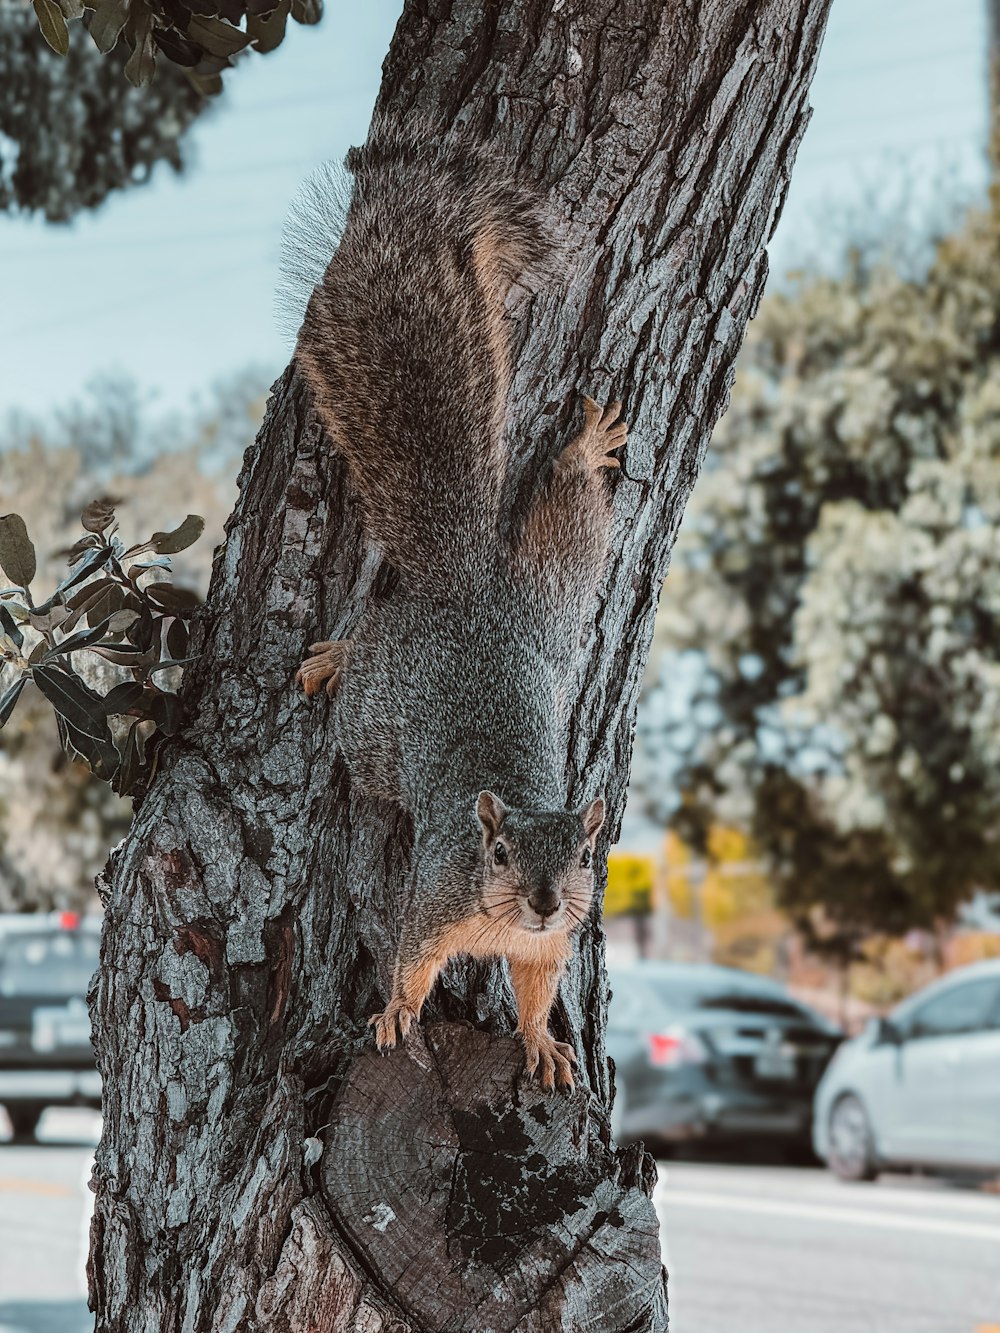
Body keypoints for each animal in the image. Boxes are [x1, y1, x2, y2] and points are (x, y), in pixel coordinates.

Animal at [289, 119, 626, 1087]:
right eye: (500, 851)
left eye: (584, 854)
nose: (547, 901)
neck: (501, 915)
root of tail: (466, 584)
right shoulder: (435, 896)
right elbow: (407, 959)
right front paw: (396, 1015)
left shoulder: (550, 949)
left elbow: (539, 990)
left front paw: (543, 1043)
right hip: (375, 727)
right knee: (365, 667)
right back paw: (334, 656)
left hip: (553, 593)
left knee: (570, 519)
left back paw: (584, 449)